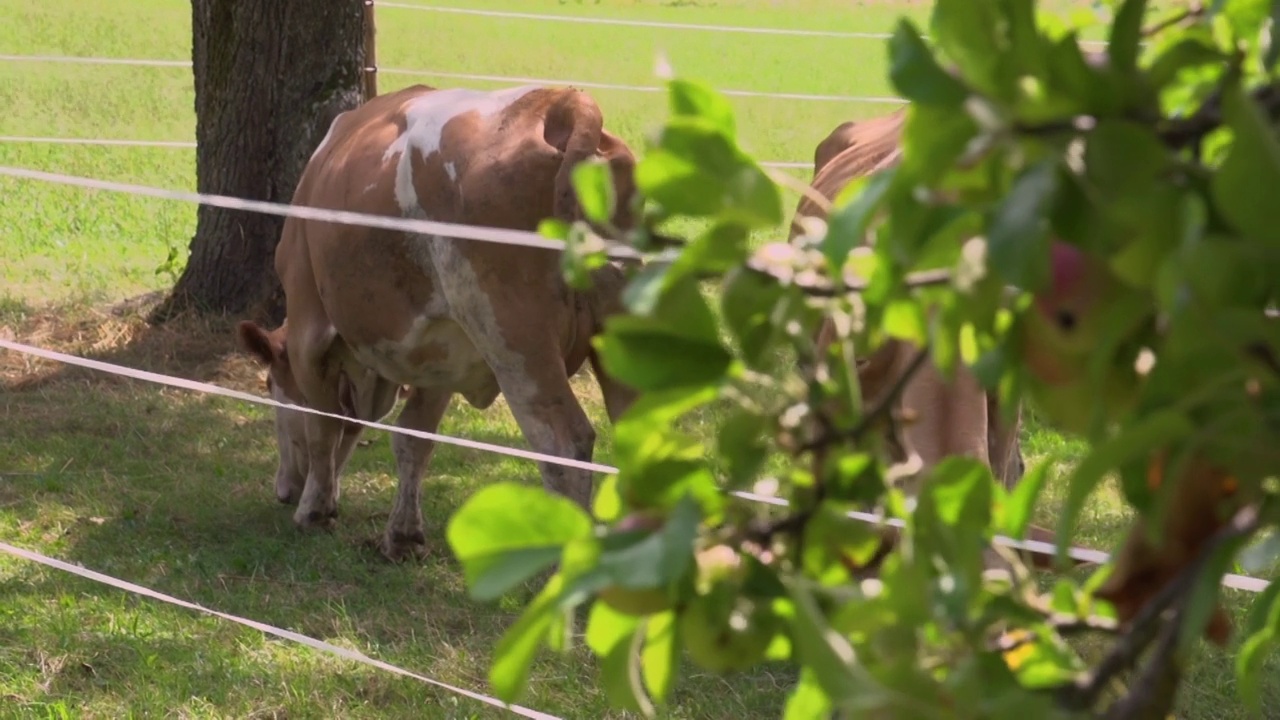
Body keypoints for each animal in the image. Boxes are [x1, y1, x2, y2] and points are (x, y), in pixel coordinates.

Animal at [235, 83, 640, 561]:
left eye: (269, 386)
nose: (284, 490)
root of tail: (560, 101)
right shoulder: (442, 350)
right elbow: (412, 438)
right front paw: (402, 534)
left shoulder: (306, 328)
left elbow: (323, 423)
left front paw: (314, 509)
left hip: (515, 338)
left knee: (565, 447)